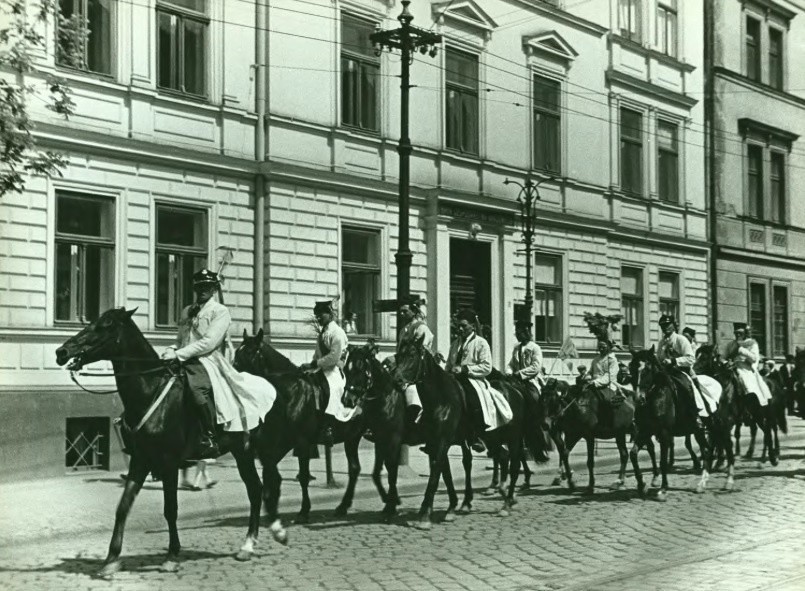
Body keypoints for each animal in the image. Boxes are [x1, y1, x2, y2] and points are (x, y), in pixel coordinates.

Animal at [54, 310, 266, 580]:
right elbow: (122, 507)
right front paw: (111, 559)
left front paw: (172, 556)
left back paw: (248, 546)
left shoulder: (169, 463)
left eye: (104, 326)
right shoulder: (140, 460)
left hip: (244, 451)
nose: (62, 351)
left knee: (255, 490)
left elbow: (170, 509)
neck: (149, 390)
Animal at [231, 332, 366, 532]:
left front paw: (303, 511)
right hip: (352, 437)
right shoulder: (280, 444)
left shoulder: (302, 442)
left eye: (248, 352)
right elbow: (270, 472)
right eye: (237, 352)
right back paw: (343, 506)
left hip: (355, 436)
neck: (290, 392)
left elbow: (302, 477)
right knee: (355, 468)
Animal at [392, 338, 528, 528]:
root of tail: (515, 390)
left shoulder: (442, 442)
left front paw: (425, 515)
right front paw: (451, 507)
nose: (396, 380)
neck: (441, 400)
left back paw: (507, 504)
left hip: (513, 437)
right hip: (492, 438)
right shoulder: (435, 443)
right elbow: (445, 473)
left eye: (412, 356)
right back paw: (502, 491)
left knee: (515, 464)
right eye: (398, 356)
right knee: (503, 456)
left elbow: (436, 473)